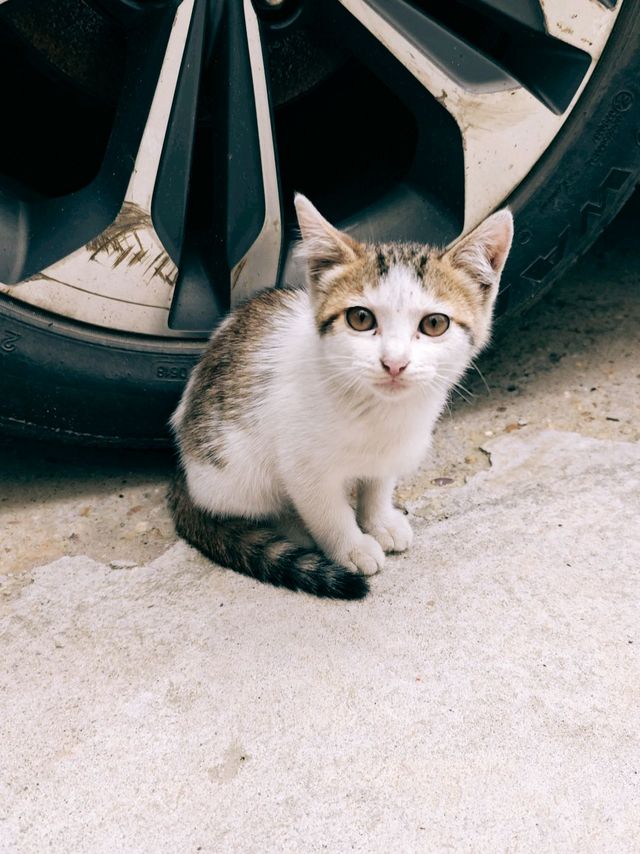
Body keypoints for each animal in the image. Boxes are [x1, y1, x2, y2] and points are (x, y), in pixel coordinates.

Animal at [168, 196, 512, 600]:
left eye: (434, 324)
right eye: (360, 318)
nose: (394, 363)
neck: (377, 410)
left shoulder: (389, 453)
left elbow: (378, 483)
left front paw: (379, 520)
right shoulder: (303, 467)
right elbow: (327, 511)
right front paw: (351, 547)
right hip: (235, 470)